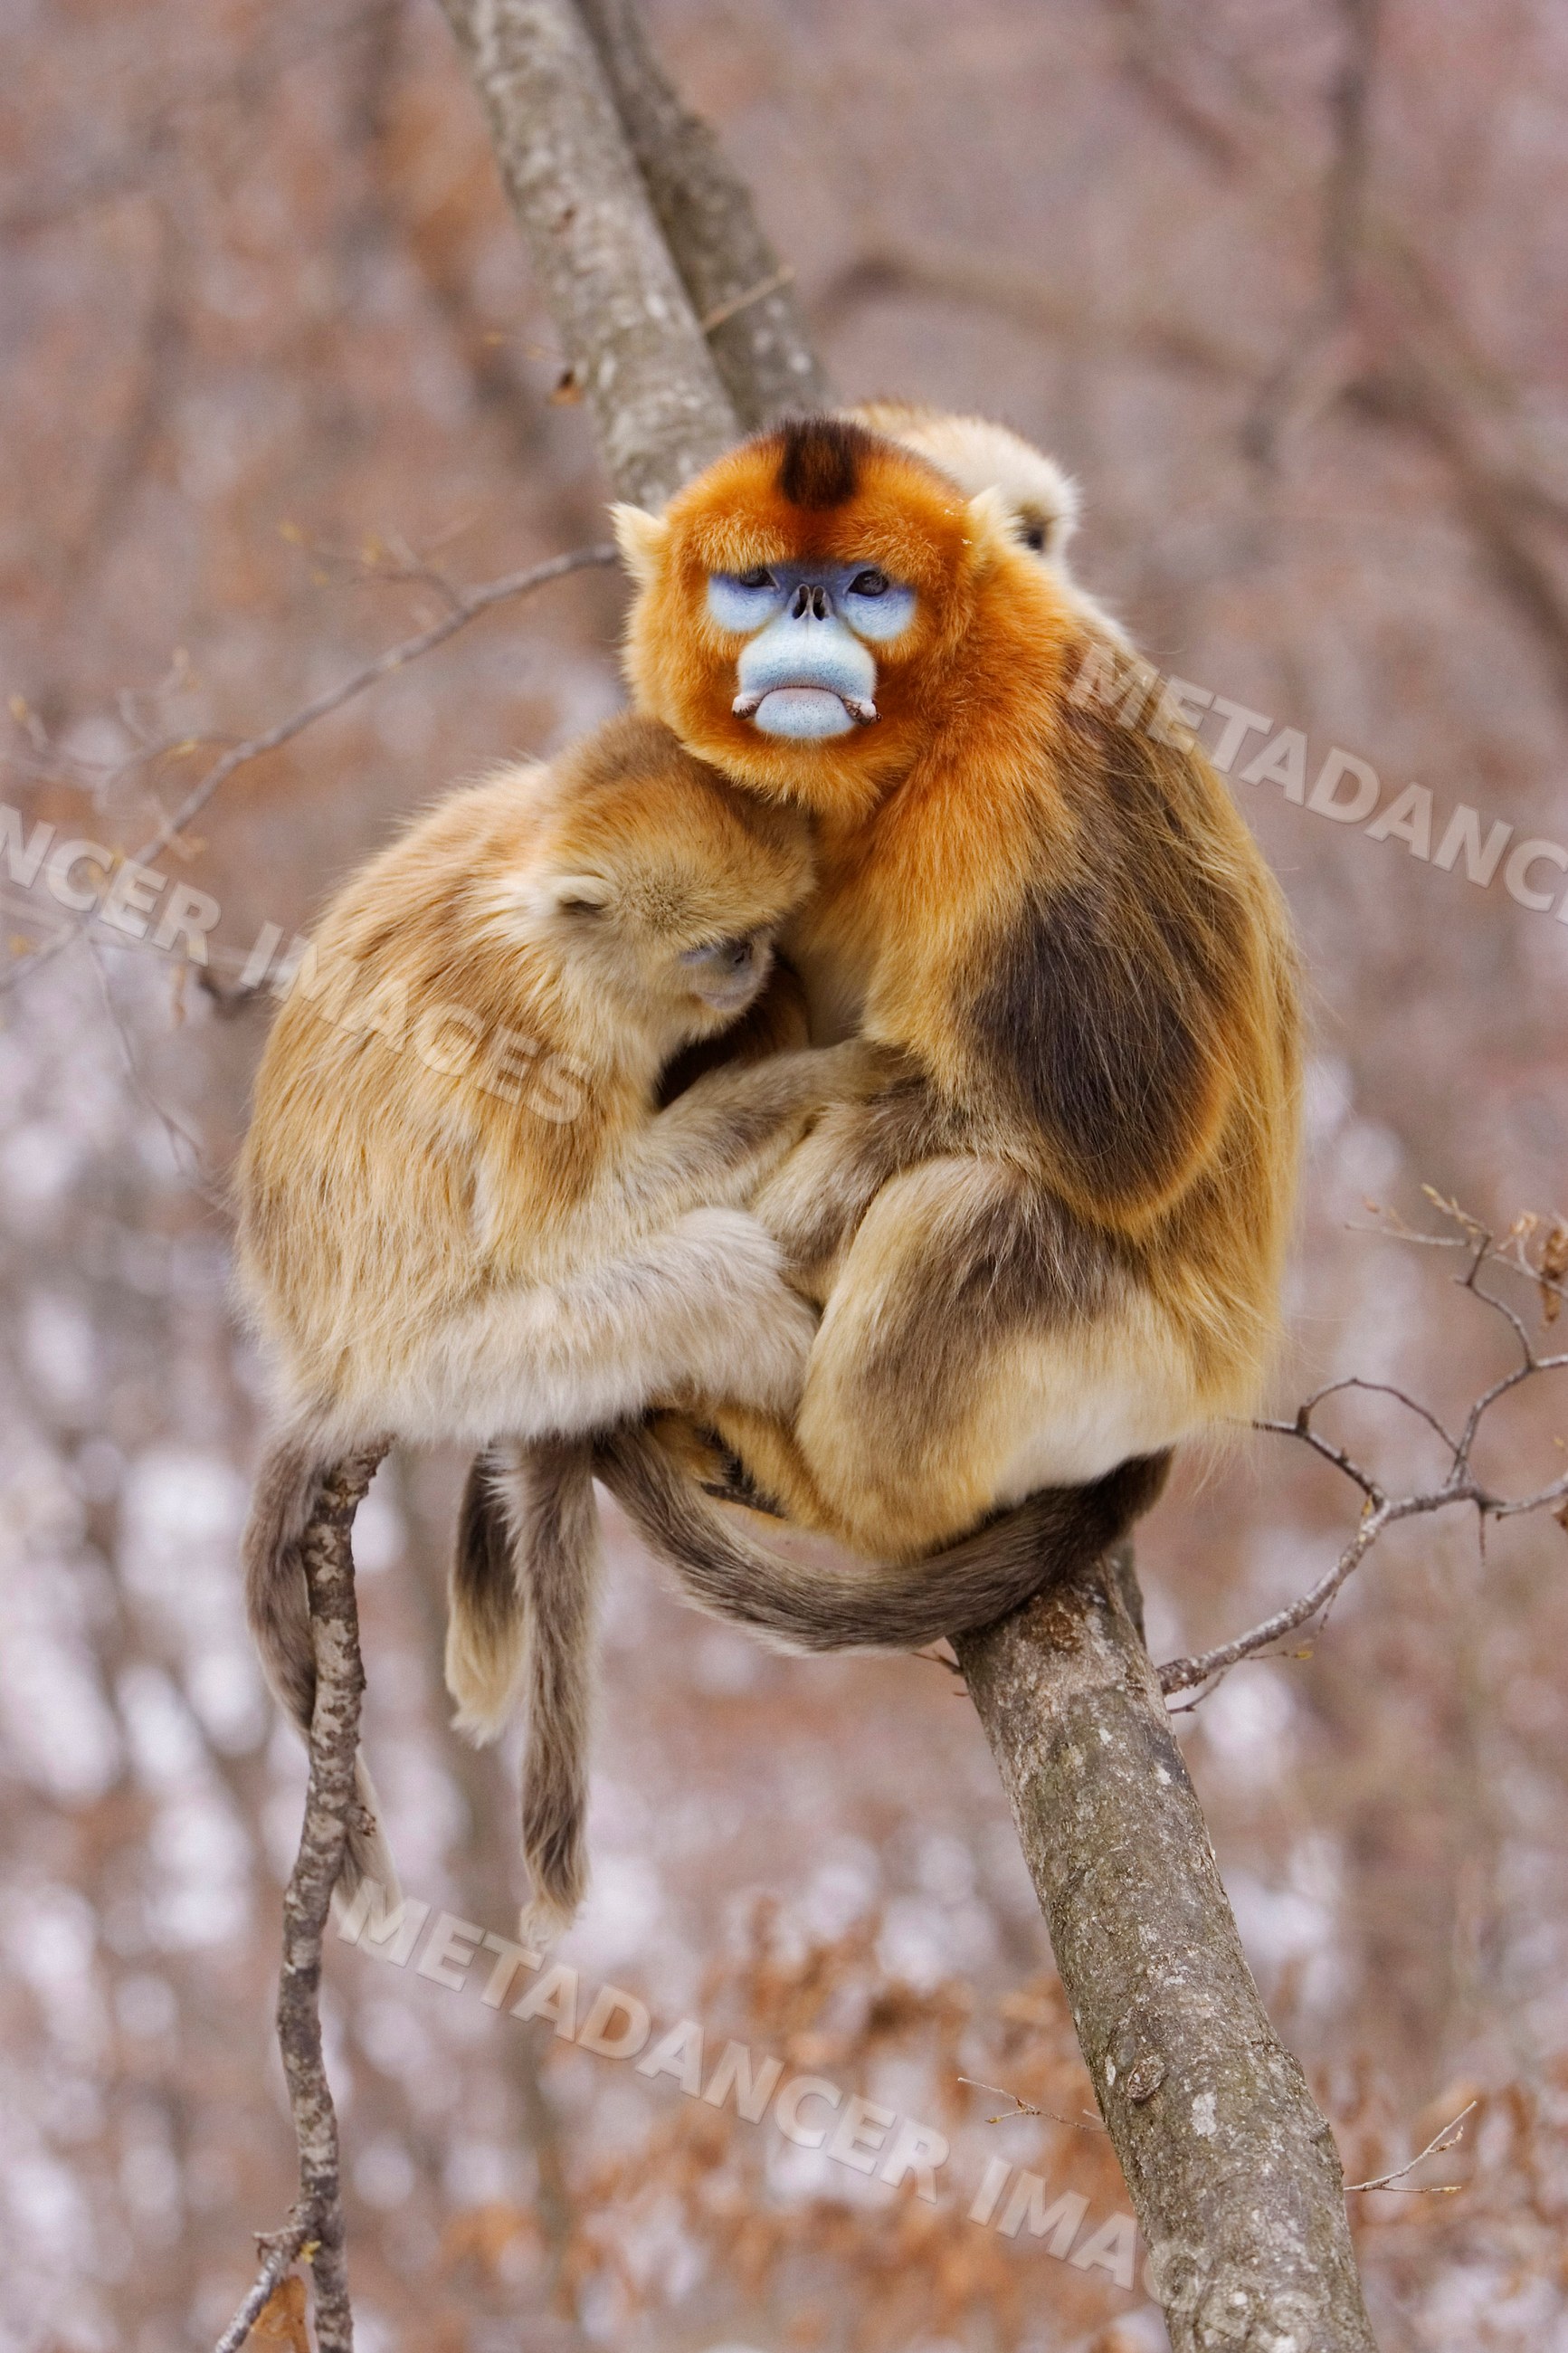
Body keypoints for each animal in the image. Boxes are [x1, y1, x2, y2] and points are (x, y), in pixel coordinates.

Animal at [235, 711, 877, 1929]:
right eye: (716, 943)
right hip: (457, 1362)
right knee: (708, 1274)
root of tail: (325, 1370)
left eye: (760, 931)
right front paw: (813, 1078)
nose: (754, 965)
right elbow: (555, 1231)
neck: (523, 892)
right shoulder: (531, 1030)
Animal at [573, 413, 1301, 1630]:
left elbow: (1129, 1129)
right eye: (757, 582)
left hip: (1145, 1373)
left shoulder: (1046, 769)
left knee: (970, 1212)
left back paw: (826, 1489)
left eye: (867, 588)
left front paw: (799, 1208)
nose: (807, 611)